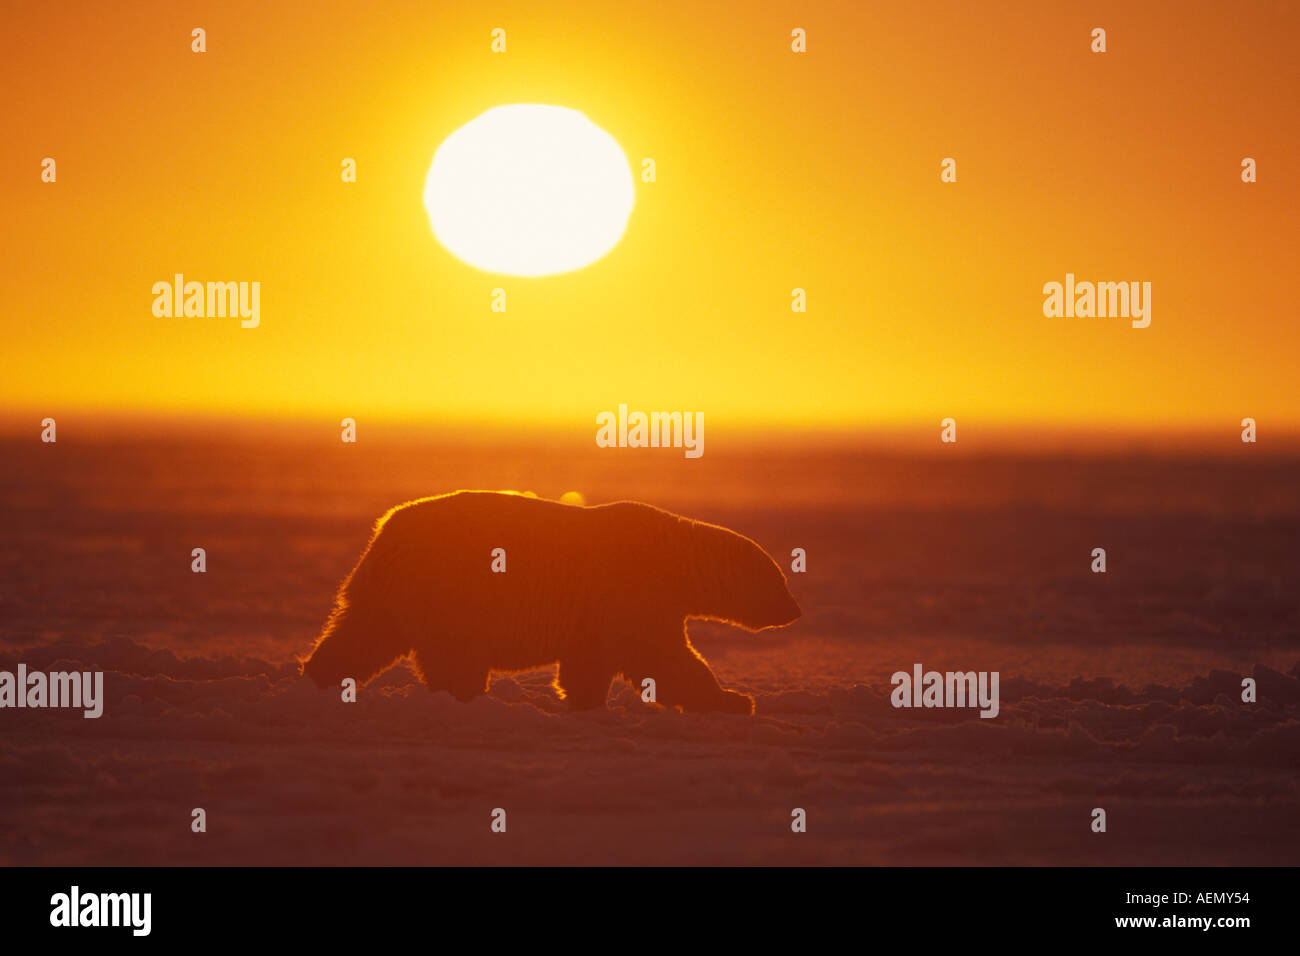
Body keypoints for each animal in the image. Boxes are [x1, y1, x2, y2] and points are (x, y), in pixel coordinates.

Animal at [299, 496, 795, 712]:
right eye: (781, 579)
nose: (797, 610)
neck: (678, 556)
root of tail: (384, 536)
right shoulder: (636, 590)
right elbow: (662, 657)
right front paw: (734, 699)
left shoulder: (600, 611)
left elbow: (590, 659)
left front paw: (584, 700)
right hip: (451, 588)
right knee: (453, 653)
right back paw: (468, 695)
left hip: (395, 593)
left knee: (364, 633)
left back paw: (320, 676)